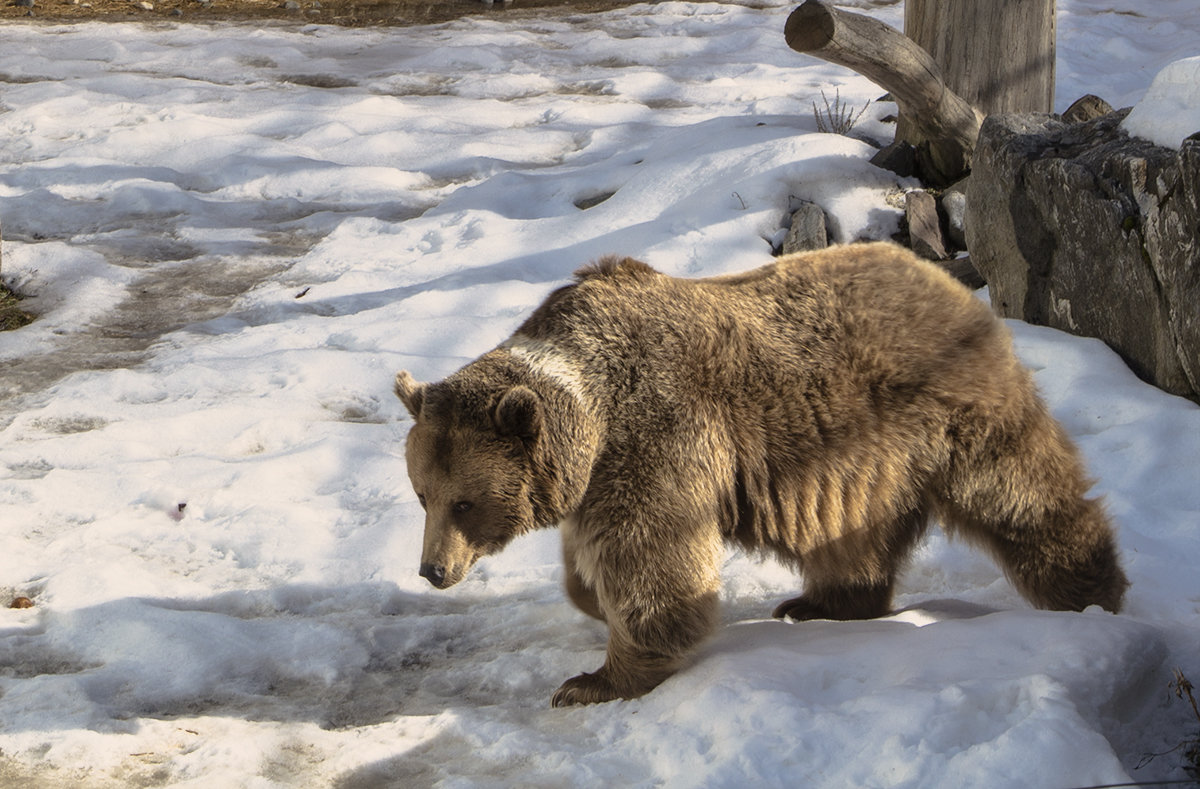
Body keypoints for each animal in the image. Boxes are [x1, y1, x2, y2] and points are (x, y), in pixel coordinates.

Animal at [398, 241, 1128, 705]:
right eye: (422, 494)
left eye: (464, 502)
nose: (432, 569)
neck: (593, 400)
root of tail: (948, 279)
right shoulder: (598, 476)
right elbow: (599, 556)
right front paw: (589, 601)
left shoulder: (656, 436)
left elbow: (653, 561)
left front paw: (591, 681)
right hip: (862, 461)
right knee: (854, 541)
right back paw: (817, 604)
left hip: (951, 411)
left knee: (1021, 493)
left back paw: (1093, 591)